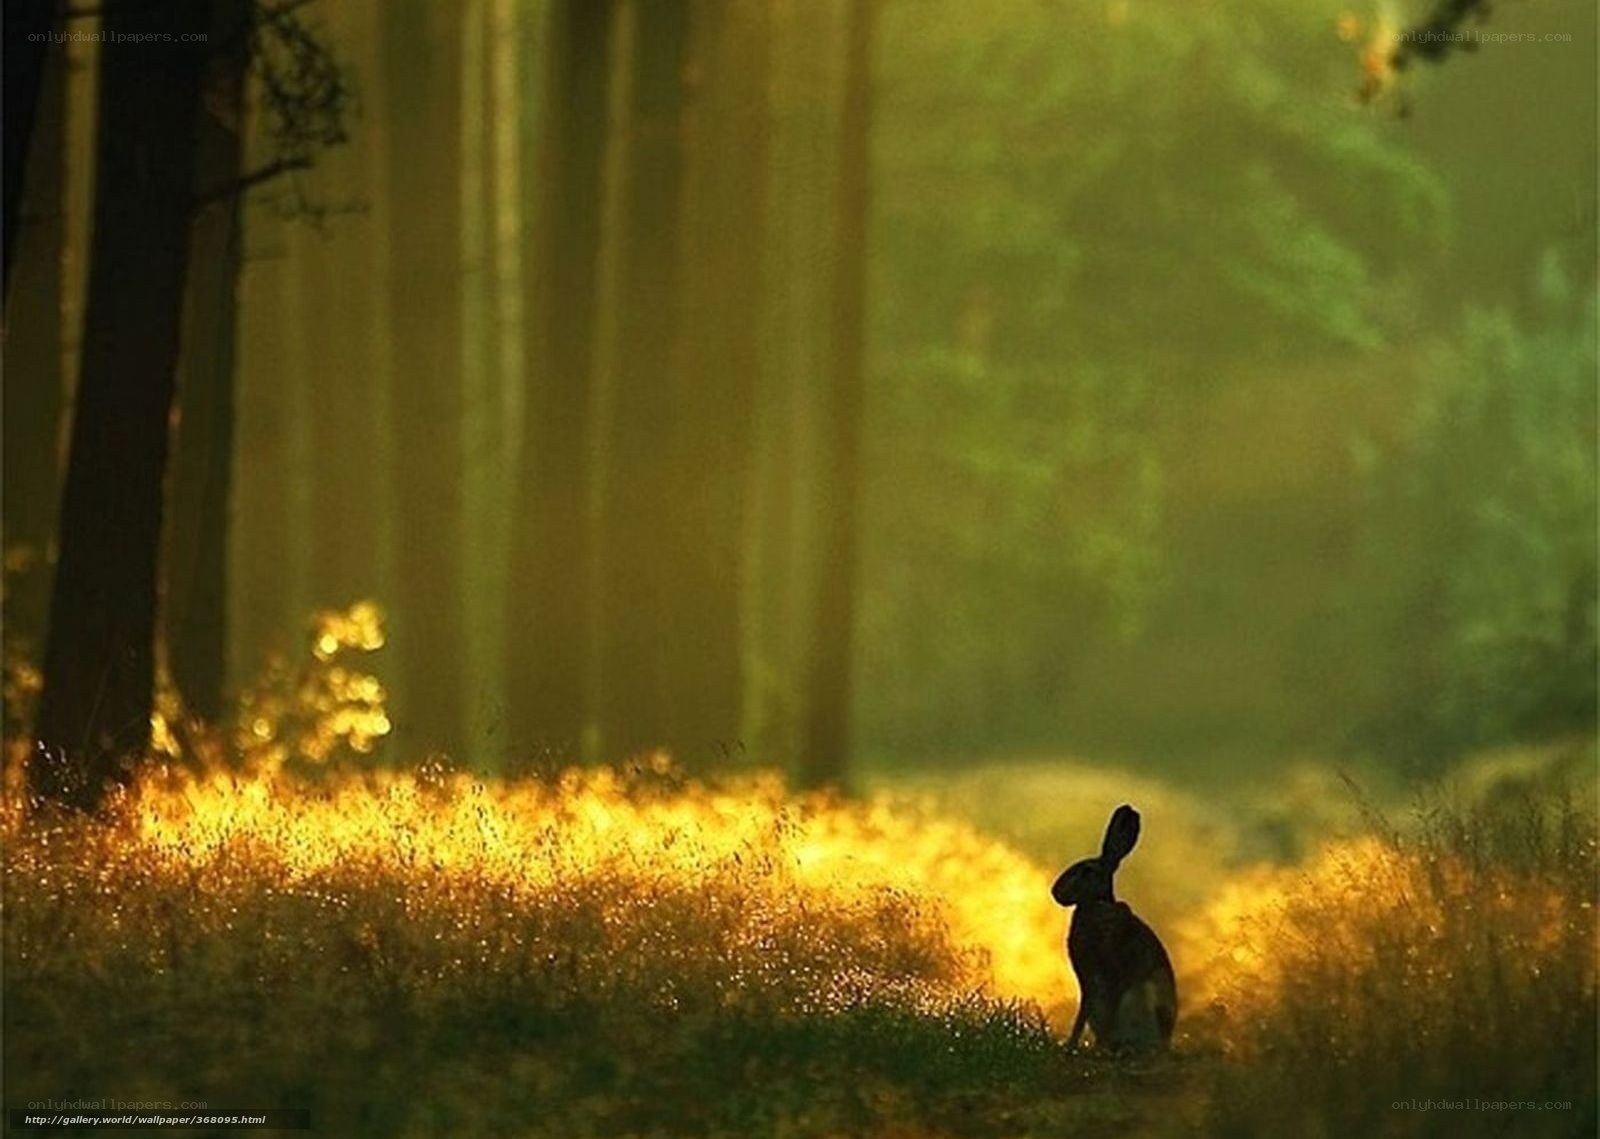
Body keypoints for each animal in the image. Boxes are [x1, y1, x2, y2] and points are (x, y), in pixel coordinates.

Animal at [1050, 804, 1177, 1052]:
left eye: (1087, 871)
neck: (1095, 905)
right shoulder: (1087, 982)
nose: (1055, 892)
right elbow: (1083, 1013)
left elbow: (1110, 1008)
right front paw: (1070, 1045)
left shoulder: (1113, 972)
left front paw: (1095, 1048)